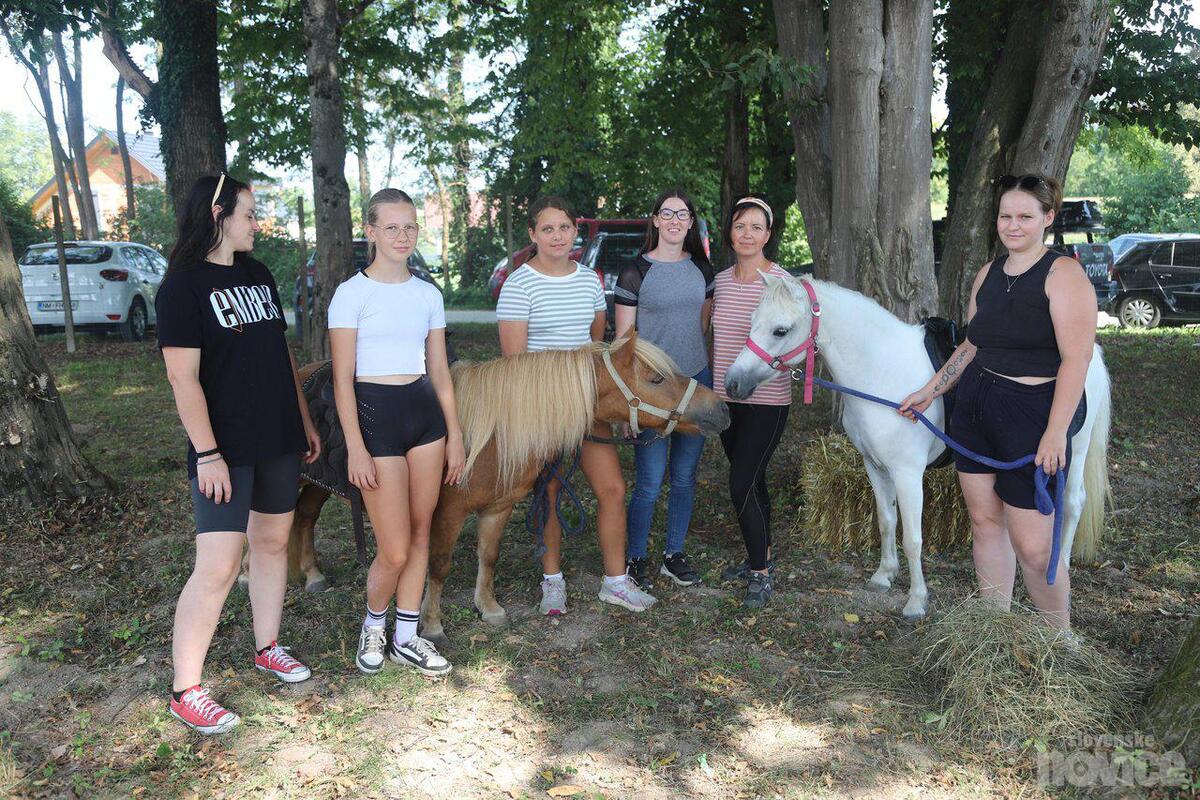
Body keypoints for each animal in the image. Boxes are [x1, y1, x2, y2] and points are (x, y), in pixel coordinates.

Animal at [273, 334, 730, 645]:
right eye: (655, 378)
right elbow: (438, 566)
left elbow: (488, 557)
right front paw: (432, 624)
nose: (722, 409)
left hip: (322, 484)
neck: (490, 434)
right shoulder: (448, 513)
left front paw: (489, 608)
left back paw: (313, 575)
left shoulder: (499, 508)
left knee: (306, 517)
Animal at [723, 272, 1111, 620]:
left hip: (1069, 452)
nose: (732, 383)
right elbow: (885, 521)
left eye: (781, 330)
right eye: (752, 322)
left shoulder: (907, 473)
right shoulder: (874, 466)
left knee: (1071, 502)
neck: (882, 372)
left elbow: (912, 537)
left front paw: (916, 601)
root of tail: (1089, 350)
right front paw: (884, 575)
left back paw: (1059, 567)